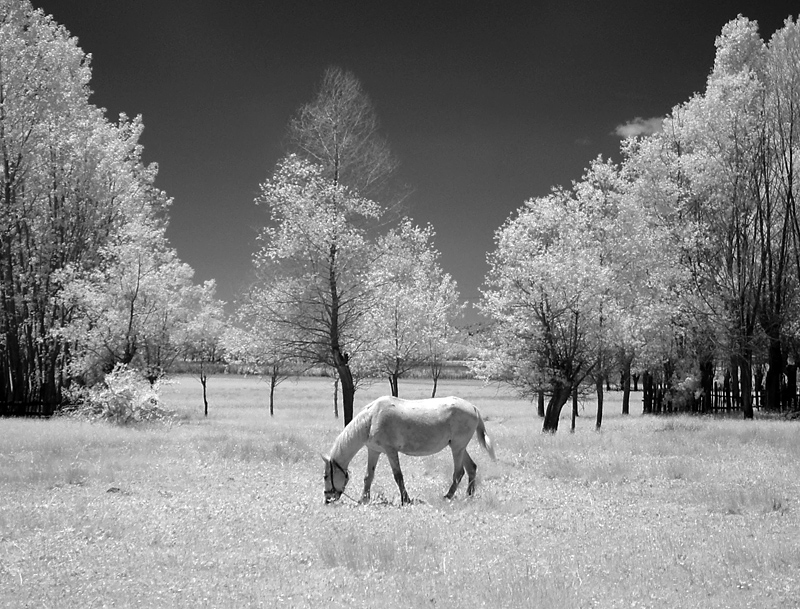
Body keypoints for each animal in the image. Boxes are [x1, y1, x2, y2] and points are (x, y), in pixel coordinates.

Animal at [320, 394, 494, 504]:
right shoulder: (374, 451)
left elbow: (398, 476)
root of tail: (473, 407)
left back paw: (448, 496)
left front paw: (406, 499)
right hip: (459, 447)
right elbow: (368, 476)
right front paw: (364, 499)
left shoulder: (390, 451)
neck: (371, 419)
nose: (328, 500)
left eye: (325, 476)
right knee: (472, 468)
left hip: (457, 448)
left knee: (459, 473)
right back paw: (469, 495)